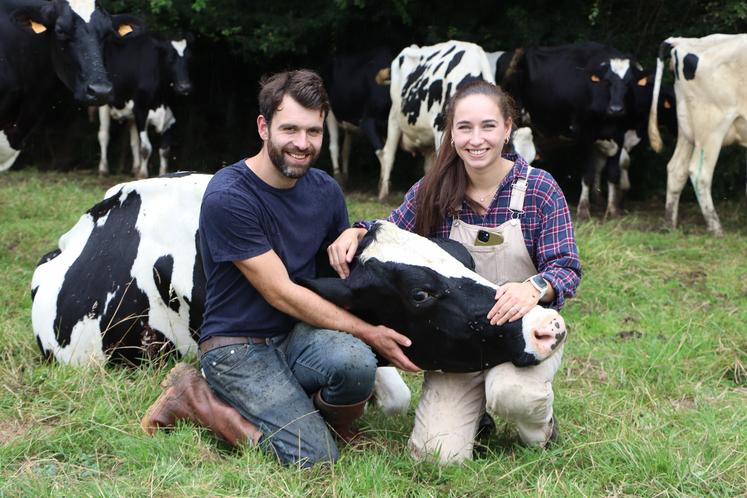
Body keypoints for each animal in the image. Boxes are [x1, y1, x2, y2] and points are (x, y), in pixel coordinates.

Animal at [97, 23, 193, 179]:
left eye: (189, 59)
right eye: (170, 58)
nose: (185, 87)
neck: (162, 98)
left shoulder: (171, 118)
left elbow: (165, 150)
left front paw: (162, 174)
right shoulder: (141, 110)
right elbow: (146, 147)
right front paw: (143, 175)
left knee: (134, 140)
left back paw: (135, 167)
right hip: (104, 102)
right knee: (104, 135)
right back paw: (103, 169)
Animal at [500, 43, 652, 219]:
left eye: (629, 83)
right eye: (607, 82)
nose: (616, 109)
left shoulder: (620, 136)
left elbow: (613, 173)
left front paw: (613, 210)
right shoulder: (585, 135)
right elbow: (587, 173)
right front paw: (583, 209)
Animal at [648, 35, 747, 237]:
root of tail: (681, 41)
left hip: (687, 128)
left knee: (676, 169)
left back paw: (669, 223)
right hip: (711, 126)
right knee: (699, 173)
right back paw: (716, 228)